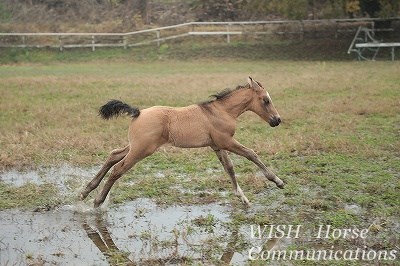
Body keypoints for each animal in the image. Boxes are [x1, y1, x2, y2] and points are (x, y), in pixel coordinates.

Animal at [79, 77, 282, 208]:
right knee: (118, 169)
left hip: (135, 146)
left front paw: (243, 199)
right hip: (141, 150)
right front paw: (277, 181)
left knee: (113, 155)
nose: (277, 120)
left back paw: (85, 191)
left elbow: (229, 168)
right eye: (266, 100)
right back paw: (97, 201)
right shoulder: (226, 141)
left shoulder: (217, 145)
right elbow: (251, 154)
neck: (221, 111)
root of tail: (138, 112)